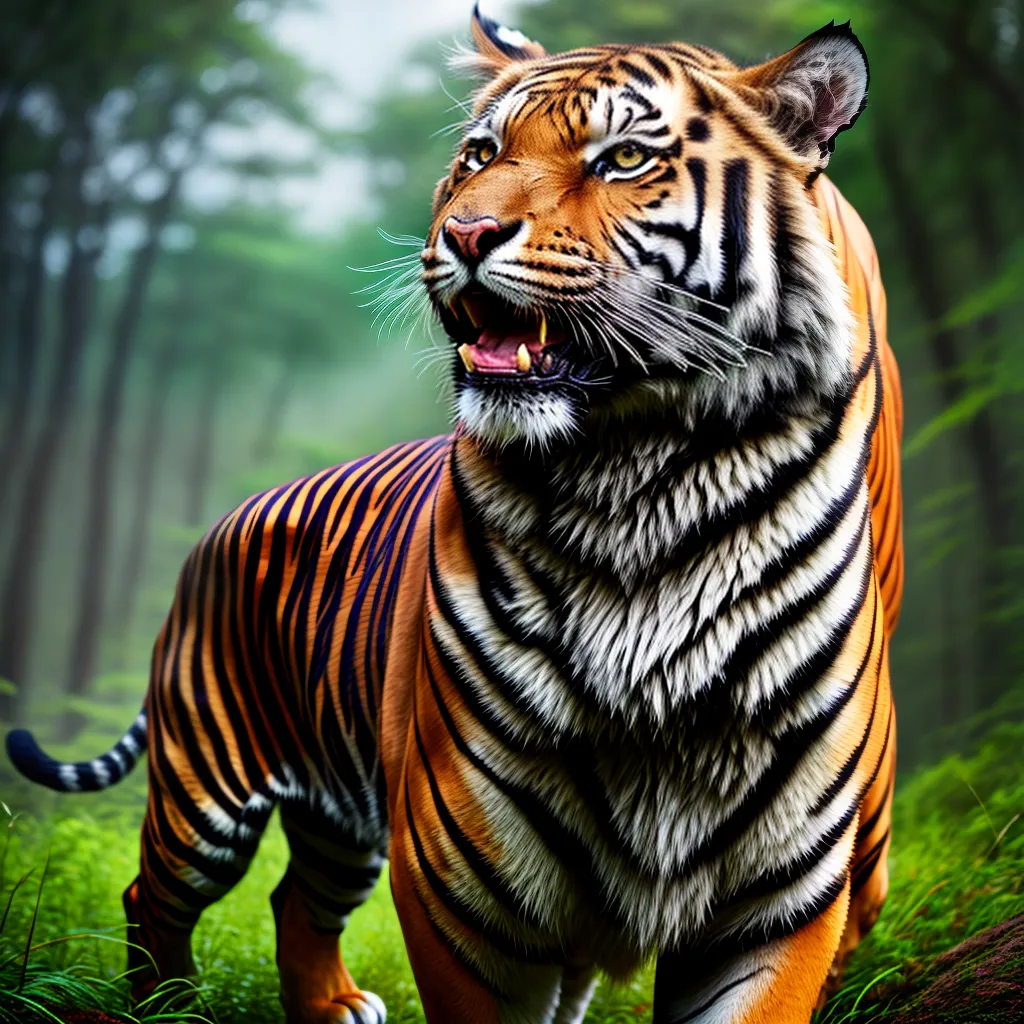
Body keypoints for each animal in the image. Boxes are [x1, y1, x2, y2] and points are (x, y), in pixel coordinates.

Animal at [7, 5, 903, 1023]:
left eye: (625, 159)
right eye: (481, 153)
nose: (467, 233)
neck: (638, 480)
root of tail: (223, 525)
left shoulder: (780, 894)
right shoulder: (467, 877)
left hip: (336, 811)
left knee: (296, 895)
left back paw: (329, 1005)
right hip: (209, 784)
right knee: (150, 891)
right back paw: (165, 1006)